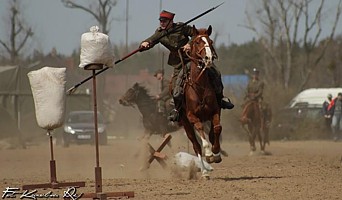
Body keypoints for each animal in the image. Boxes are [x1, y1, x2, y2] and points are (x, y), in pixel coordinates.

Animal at [180, 25, 223, 178]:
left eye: (210, 41)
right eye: (198, 42)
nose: (208, 58)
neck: (199, 86)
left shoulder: (215, 111)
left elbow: (217, 129)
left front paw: (216, 152)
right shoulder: (192, 116)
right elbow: (201, 136)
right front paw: (209, 153)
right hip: (185, 123)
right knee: (196, 145)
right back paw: (204, 171)